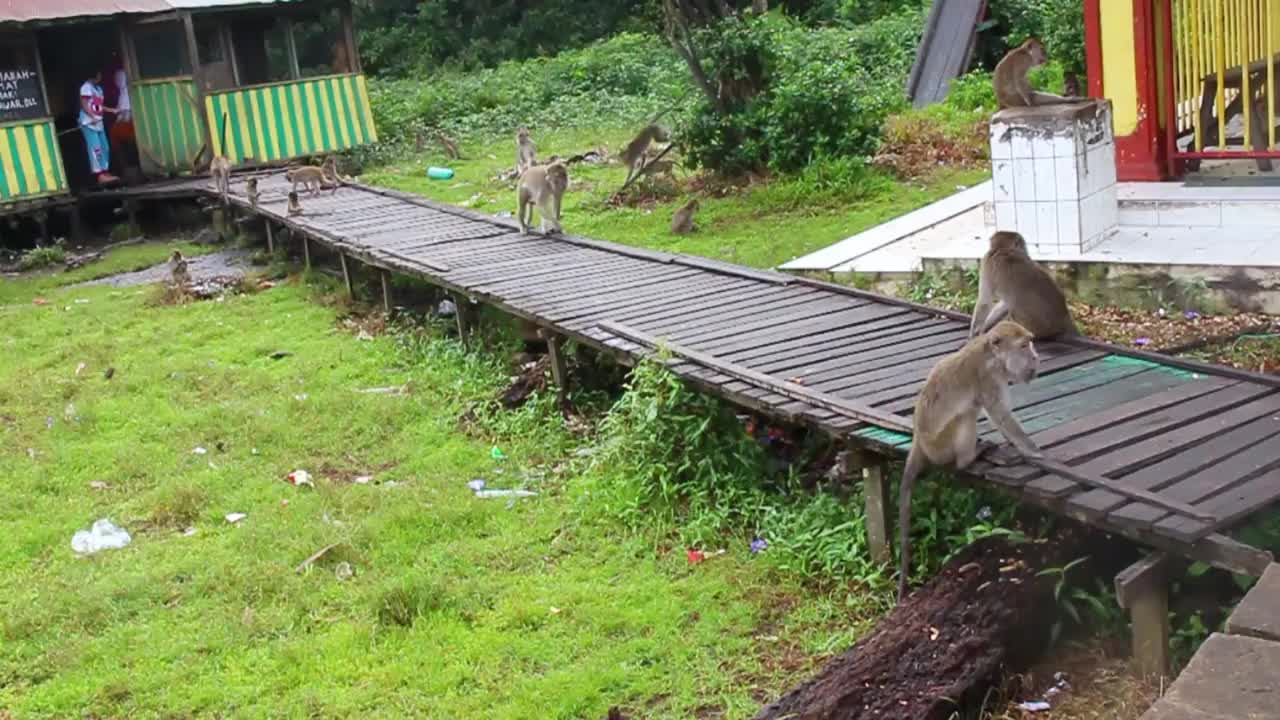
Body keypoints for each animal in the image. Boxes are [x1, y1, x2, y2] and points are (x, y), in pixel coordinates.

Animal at [896, 320, 1044, 599]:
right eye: (1023, 345)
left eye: (1030, 343)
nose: (1035, 357)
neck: (993, 356)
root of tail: (919, 440)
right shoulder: (989, 378)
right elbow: (1000, 415)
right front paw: (1033, 450)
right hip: (941, 445)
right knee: (966, 414)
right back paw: (970, 459)